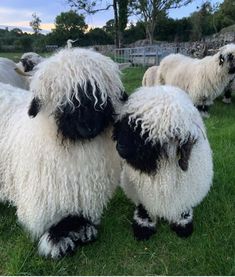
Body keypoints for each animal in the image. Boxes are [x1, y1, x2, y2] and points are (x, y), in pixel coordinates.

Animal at [0, 46, 126, 258]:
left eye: (100, 96)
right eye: (64, 100)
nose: (89, 127)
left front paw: (82, 229)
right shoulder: (43, 193)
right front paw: (57, 240)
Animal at [113, 85, 214, 239]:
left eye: (149, 134)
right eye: (126, 121)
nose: (120, 148)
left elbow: (183, 208)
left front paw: (183, 224)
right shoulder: (143, 195)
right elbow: (144, 208)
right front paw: (143, 226)